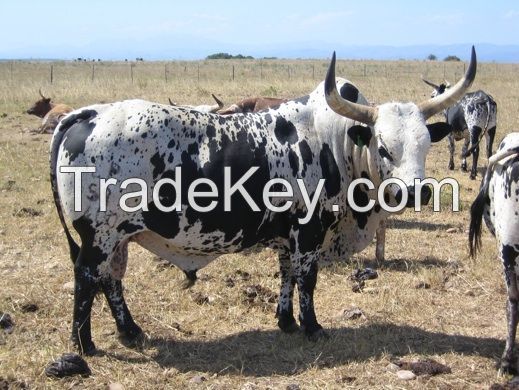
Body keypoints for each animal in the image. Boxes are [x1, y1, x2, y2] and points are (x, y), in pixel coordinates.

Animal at [50, 47, 478, 354]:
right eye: (385, 148)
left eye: (425, 146)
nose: (415, 191)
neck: (336, 143)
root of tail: (89, 113)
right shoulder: (309, 232)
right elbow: (307, 279)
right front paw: (312, 327)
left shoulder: (288, 235)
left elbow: (286, 274)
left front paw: (286, 321)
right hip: (99, 237)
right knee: (88, 278)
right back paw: (85, 344)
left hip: (118, 237)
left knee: (111, 279)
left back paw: (131, 331)